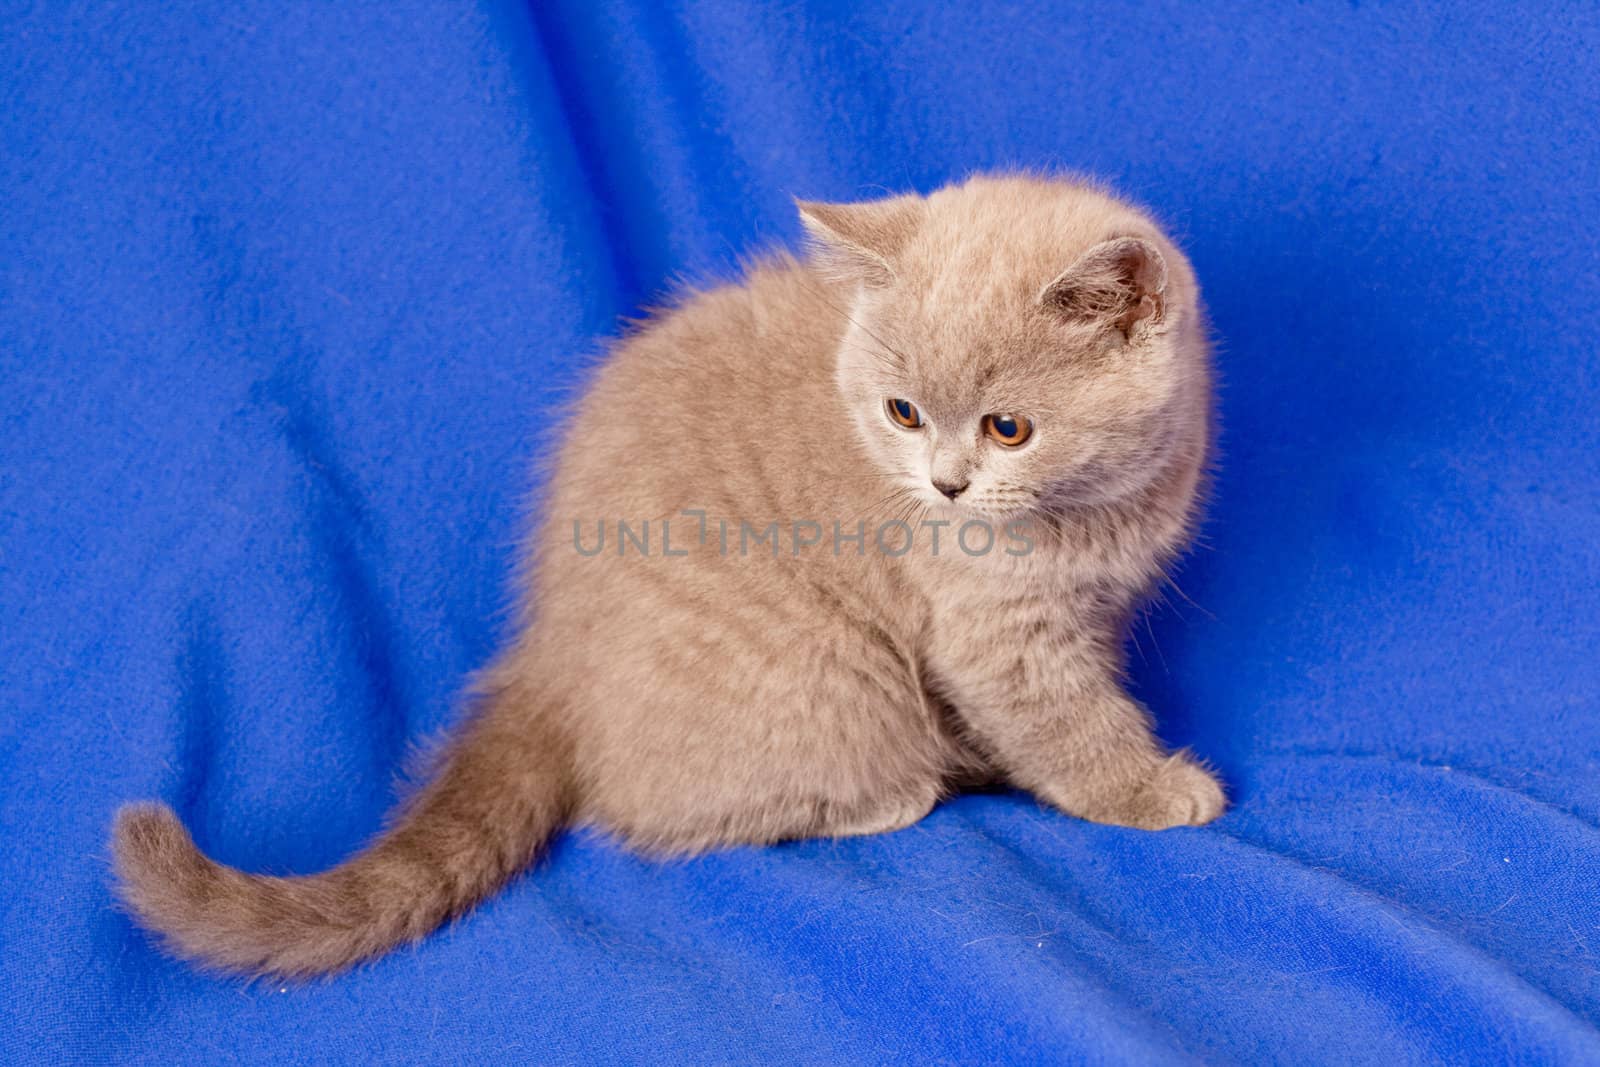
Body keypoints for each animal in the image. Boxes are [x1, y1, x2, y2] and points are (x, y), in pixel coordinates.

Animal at [112, 173, 1222, 979]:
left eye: (1009, 427)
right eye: (903, 412)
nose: (945, 486)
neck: (1093, 516)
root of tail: (546, 654)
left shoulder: (1095, 607)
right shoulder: (993, 630)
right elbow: (1063, 720)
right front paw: (1149, 787)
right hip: (827, 676)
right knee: (649, 811)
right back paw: (897, 791)